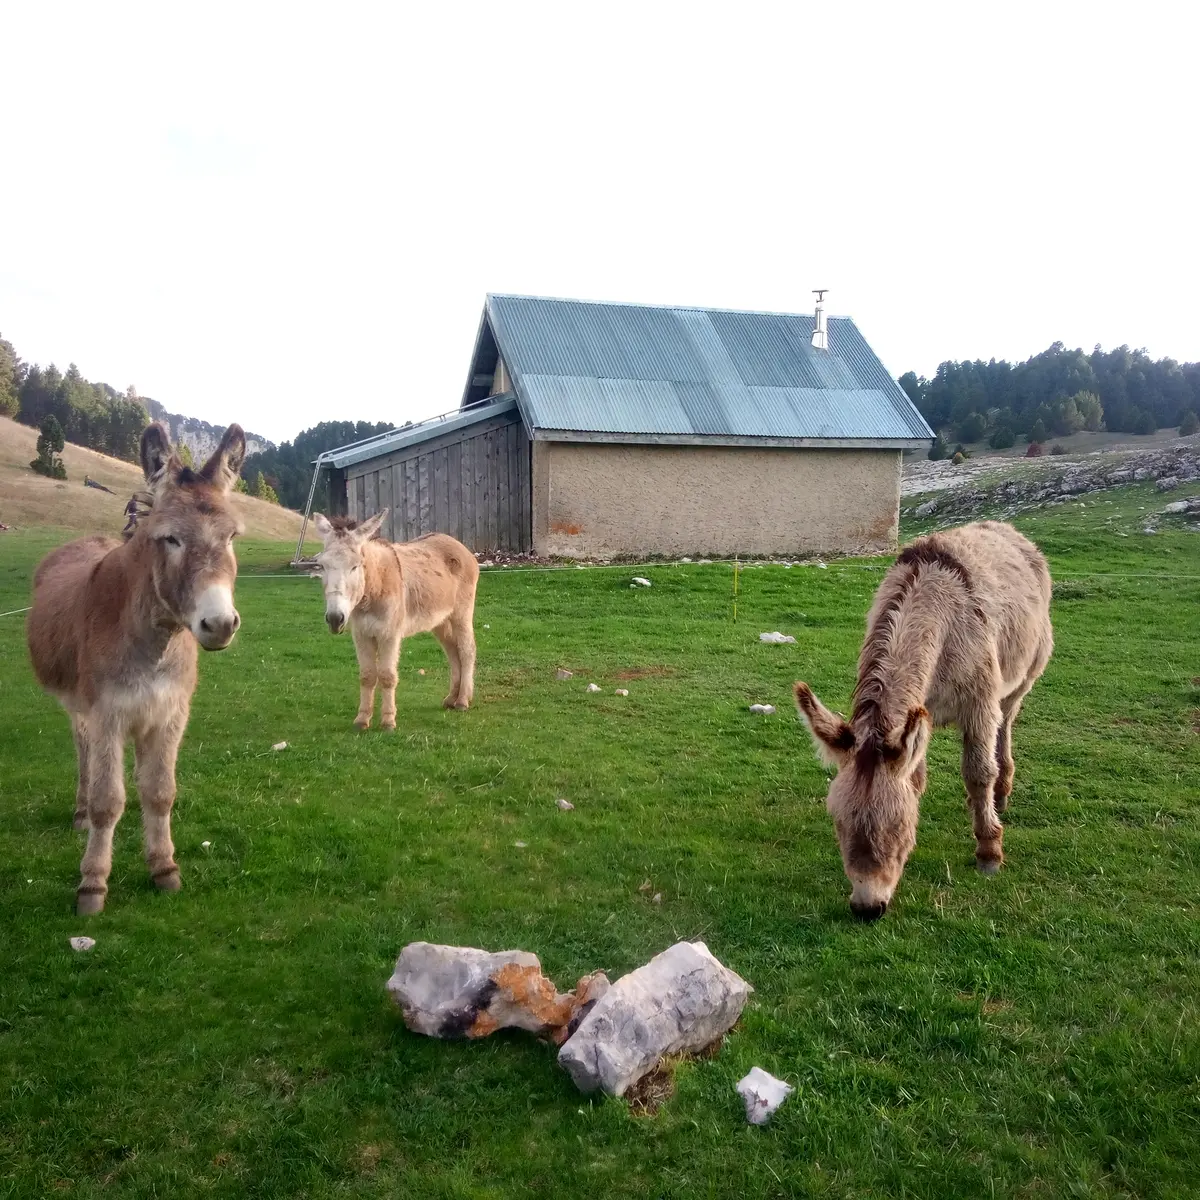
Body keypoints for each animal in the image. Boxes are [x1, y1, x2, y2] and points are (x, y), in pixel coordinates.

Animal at [27, 422, 246, 914]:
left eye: (231, 538)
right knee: (84, 750)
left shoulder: (168, 714)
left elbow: (160, 792)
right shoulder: (108, 713)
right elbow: (108, 801)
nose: (220, 624)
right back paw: (80, 813)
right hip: (80, 704)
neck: (155, 643)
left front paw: (163, 868)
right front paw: (92, 884)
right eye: (171, 539)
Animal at [311, 510, 479, 726]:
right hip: (440, 620)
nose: (334, 619)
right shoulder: (361, 635)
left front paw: (388, 721)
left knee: (467, 651)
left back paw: (463, 701)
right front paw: (362, 719)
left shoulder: (389, 635)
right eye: (322, 566)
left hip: (461, 613)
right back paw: (452, 698)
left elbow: (387, 675)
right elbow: (367, 675)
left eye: (355, 566)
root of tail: (457, 544)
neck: (373, 589)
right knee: (452, 650)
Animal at [793, 520, 1053, 920]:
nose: (867, 909)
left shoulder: (979, 703)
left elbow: (978, 772)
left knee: (1004, 727)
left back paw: (1000, 794)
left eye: (896, 825)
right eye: (838, 822)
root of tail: (1002, 527)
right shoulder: (915, 718)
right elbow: (917, 780)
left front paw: (989, 851)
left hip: (1019, 681)